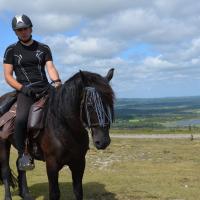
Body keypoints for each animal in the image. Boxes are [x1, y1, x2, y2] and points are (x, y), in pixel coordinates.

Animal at [0, 68, 114, 199]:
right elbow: (54, 193)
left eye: (110, 103)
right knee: (5, 171)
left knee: (20, 165)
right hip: (3, 144)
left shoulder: (79, 163)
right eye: (90, 105)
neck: (65, 128)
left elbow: (78, 191)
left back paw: (25, 194)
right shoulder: (52, 165)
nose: (103, 141)